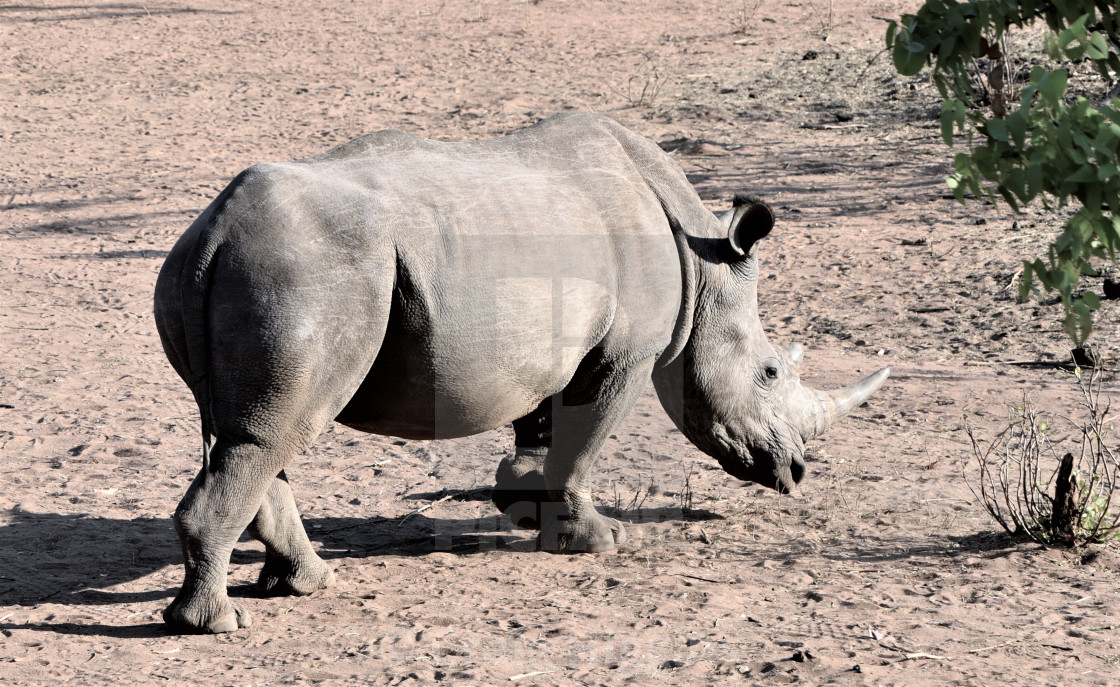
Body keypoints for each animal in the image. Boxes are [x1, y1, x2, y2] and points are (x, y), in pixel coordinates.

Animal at [155, 112, 891, 632]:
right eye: (768, 372)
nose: (796, 472)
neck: (702, 259)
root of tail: (214, 233)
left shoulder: (557, 339)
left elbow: (544, 423)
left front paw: (524, 505)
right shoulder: (625, 353)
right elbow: (584, 437)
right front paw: (598, 539)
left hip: (230, 270)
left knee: (253, 432)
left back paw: (305, 584)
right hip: (303, 272)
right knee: (275, 431)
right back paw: (219, 624)